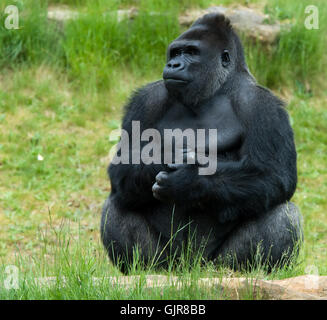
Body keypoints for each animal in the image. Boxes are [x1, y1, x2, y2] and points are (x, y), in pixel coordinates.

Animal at [101, 12, 304, 272]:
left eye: (192, 52)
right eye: (175, 53)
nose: (173, 65)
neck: (217, 89)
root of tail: (190, 269)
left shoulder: (263, 104)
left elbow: (273, 174)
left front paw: (190, 181)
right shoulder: (145, 100)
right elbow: (122, 166)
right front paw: (162, 156)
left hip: (215, 263)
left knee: (282, 212)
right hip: (169, 263)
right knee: (118, 203)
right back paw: (142, 269)